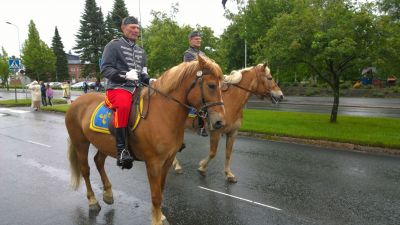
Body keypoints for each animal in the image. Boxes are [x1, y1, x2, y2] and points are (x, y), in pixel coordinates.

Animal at [67, 55, 227, 225]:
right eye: (211, 85)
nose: (220, 122)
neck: (162, 113)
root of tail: (76, 102)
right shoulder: (153, 163)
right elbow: (156, 195)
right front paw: (156, 219)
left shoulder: (167, 161)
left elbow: (161, 190)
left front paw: (159, 215)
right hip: (80, 143)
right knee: (85, 170)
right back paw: (92, 201)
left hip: (105, 144)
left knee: (98, 161)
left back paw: (108, 194)